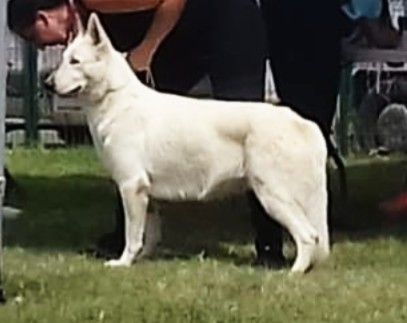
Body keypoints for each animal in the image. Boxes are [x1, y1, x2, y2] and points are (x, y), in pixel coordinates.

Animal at [46, 13, 330, 274]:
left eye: (75, 61)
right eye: (63, 59)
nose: (47, 83)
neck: (115, 98)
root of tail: (305, 123)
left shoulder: (131, 186)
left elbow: (132, 236)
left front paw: (123, 263)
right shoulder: (148, 194)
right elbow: (149, 235)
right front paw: (143, 260)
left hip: (272, 195)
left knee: (308, 236)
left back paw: (294, 273)